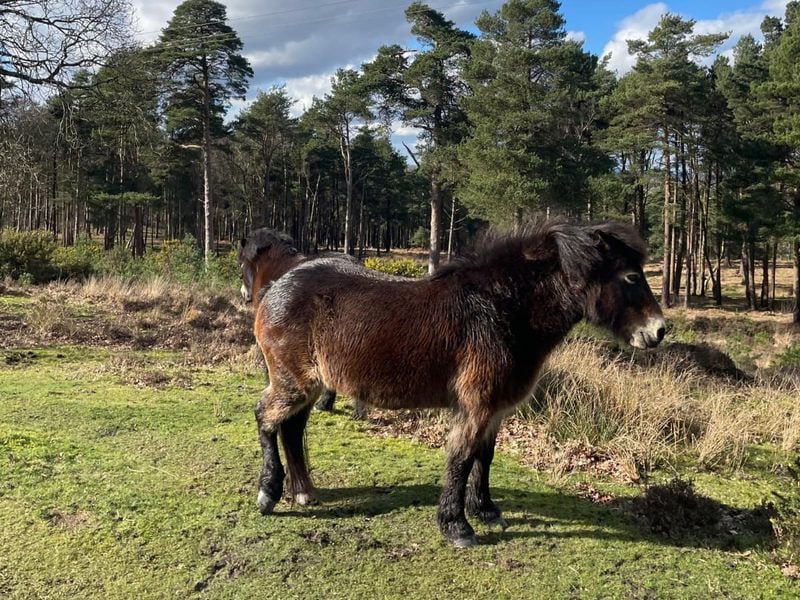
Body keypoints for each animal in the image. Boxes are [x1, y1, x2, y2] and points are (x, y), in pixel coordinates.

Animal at [251, 220, 665, 547]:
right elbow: (462, 458)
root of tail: (276, 288)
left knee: (291, 428)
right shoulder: (476, 406)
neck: (501, 310)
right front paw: (456, 526)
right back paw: (269, 493)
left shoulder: (495, 409)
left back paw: (304, 493)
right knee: (265, 417)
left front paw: (485, 511)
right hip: (294, 383)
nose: (660, 331)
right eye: (631, 276)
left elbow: (485, 456)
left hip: (307, 386)